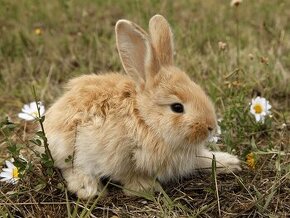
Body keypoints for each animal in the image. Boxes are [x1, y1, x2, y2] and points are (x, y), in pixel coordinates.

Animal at [44, 14, 240, 199]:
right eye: (177, 107)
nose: (211, 127)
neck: (145, 119)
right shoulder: (118, 156)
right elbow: (127, 175)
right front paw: (145, 188)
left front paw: (230, 162)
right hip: (69, 147)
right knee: (70, 168)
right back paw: (89, 189)